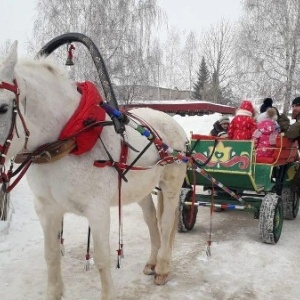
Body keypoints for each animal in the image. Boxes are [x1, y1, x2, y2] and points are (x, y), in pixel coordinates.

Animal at [0, 42, 188, 300]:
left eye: (3, 107)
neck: (70, 139)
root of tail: (172, 122)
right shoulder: (47, 209)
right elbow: (51, 255)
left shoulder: (97, 210)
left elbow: (102, 258)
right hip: (140, 188)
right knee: (151, 220)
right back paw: (151, 261)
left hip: (171, 184)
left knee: (167, 221)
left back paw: (162, 267)